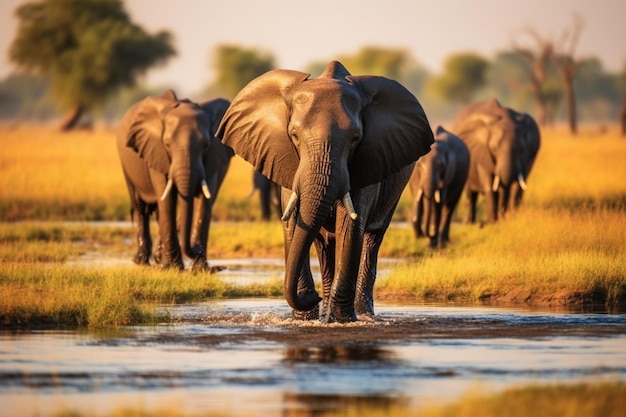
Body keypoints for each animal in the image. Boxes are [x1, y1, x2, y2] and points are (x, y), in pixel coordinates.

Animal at [116, 90, 233, 272]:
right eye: (167, 144)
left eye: (206, 145)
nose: (222, 267)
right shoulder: (156, 152)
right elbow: (167, 199)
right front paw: (172, 267)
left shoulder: (214, 158)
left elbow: (205, 201)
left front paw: (200, 269)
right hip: (126, 163)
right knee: (140, 206)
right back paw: (141, 261)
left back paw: (157, 258)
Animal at [217, 61, 432, 322]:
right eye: (294, 136)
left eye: (355, 139)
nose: (314, 296)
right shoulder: (288, 162)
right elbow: (293, 225)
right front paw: (305, 319)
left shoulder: (368, 162)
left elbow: (350, 226)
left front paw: (342, 320)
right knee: (324, 244)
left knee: (371, 240)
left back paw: (362, 315)